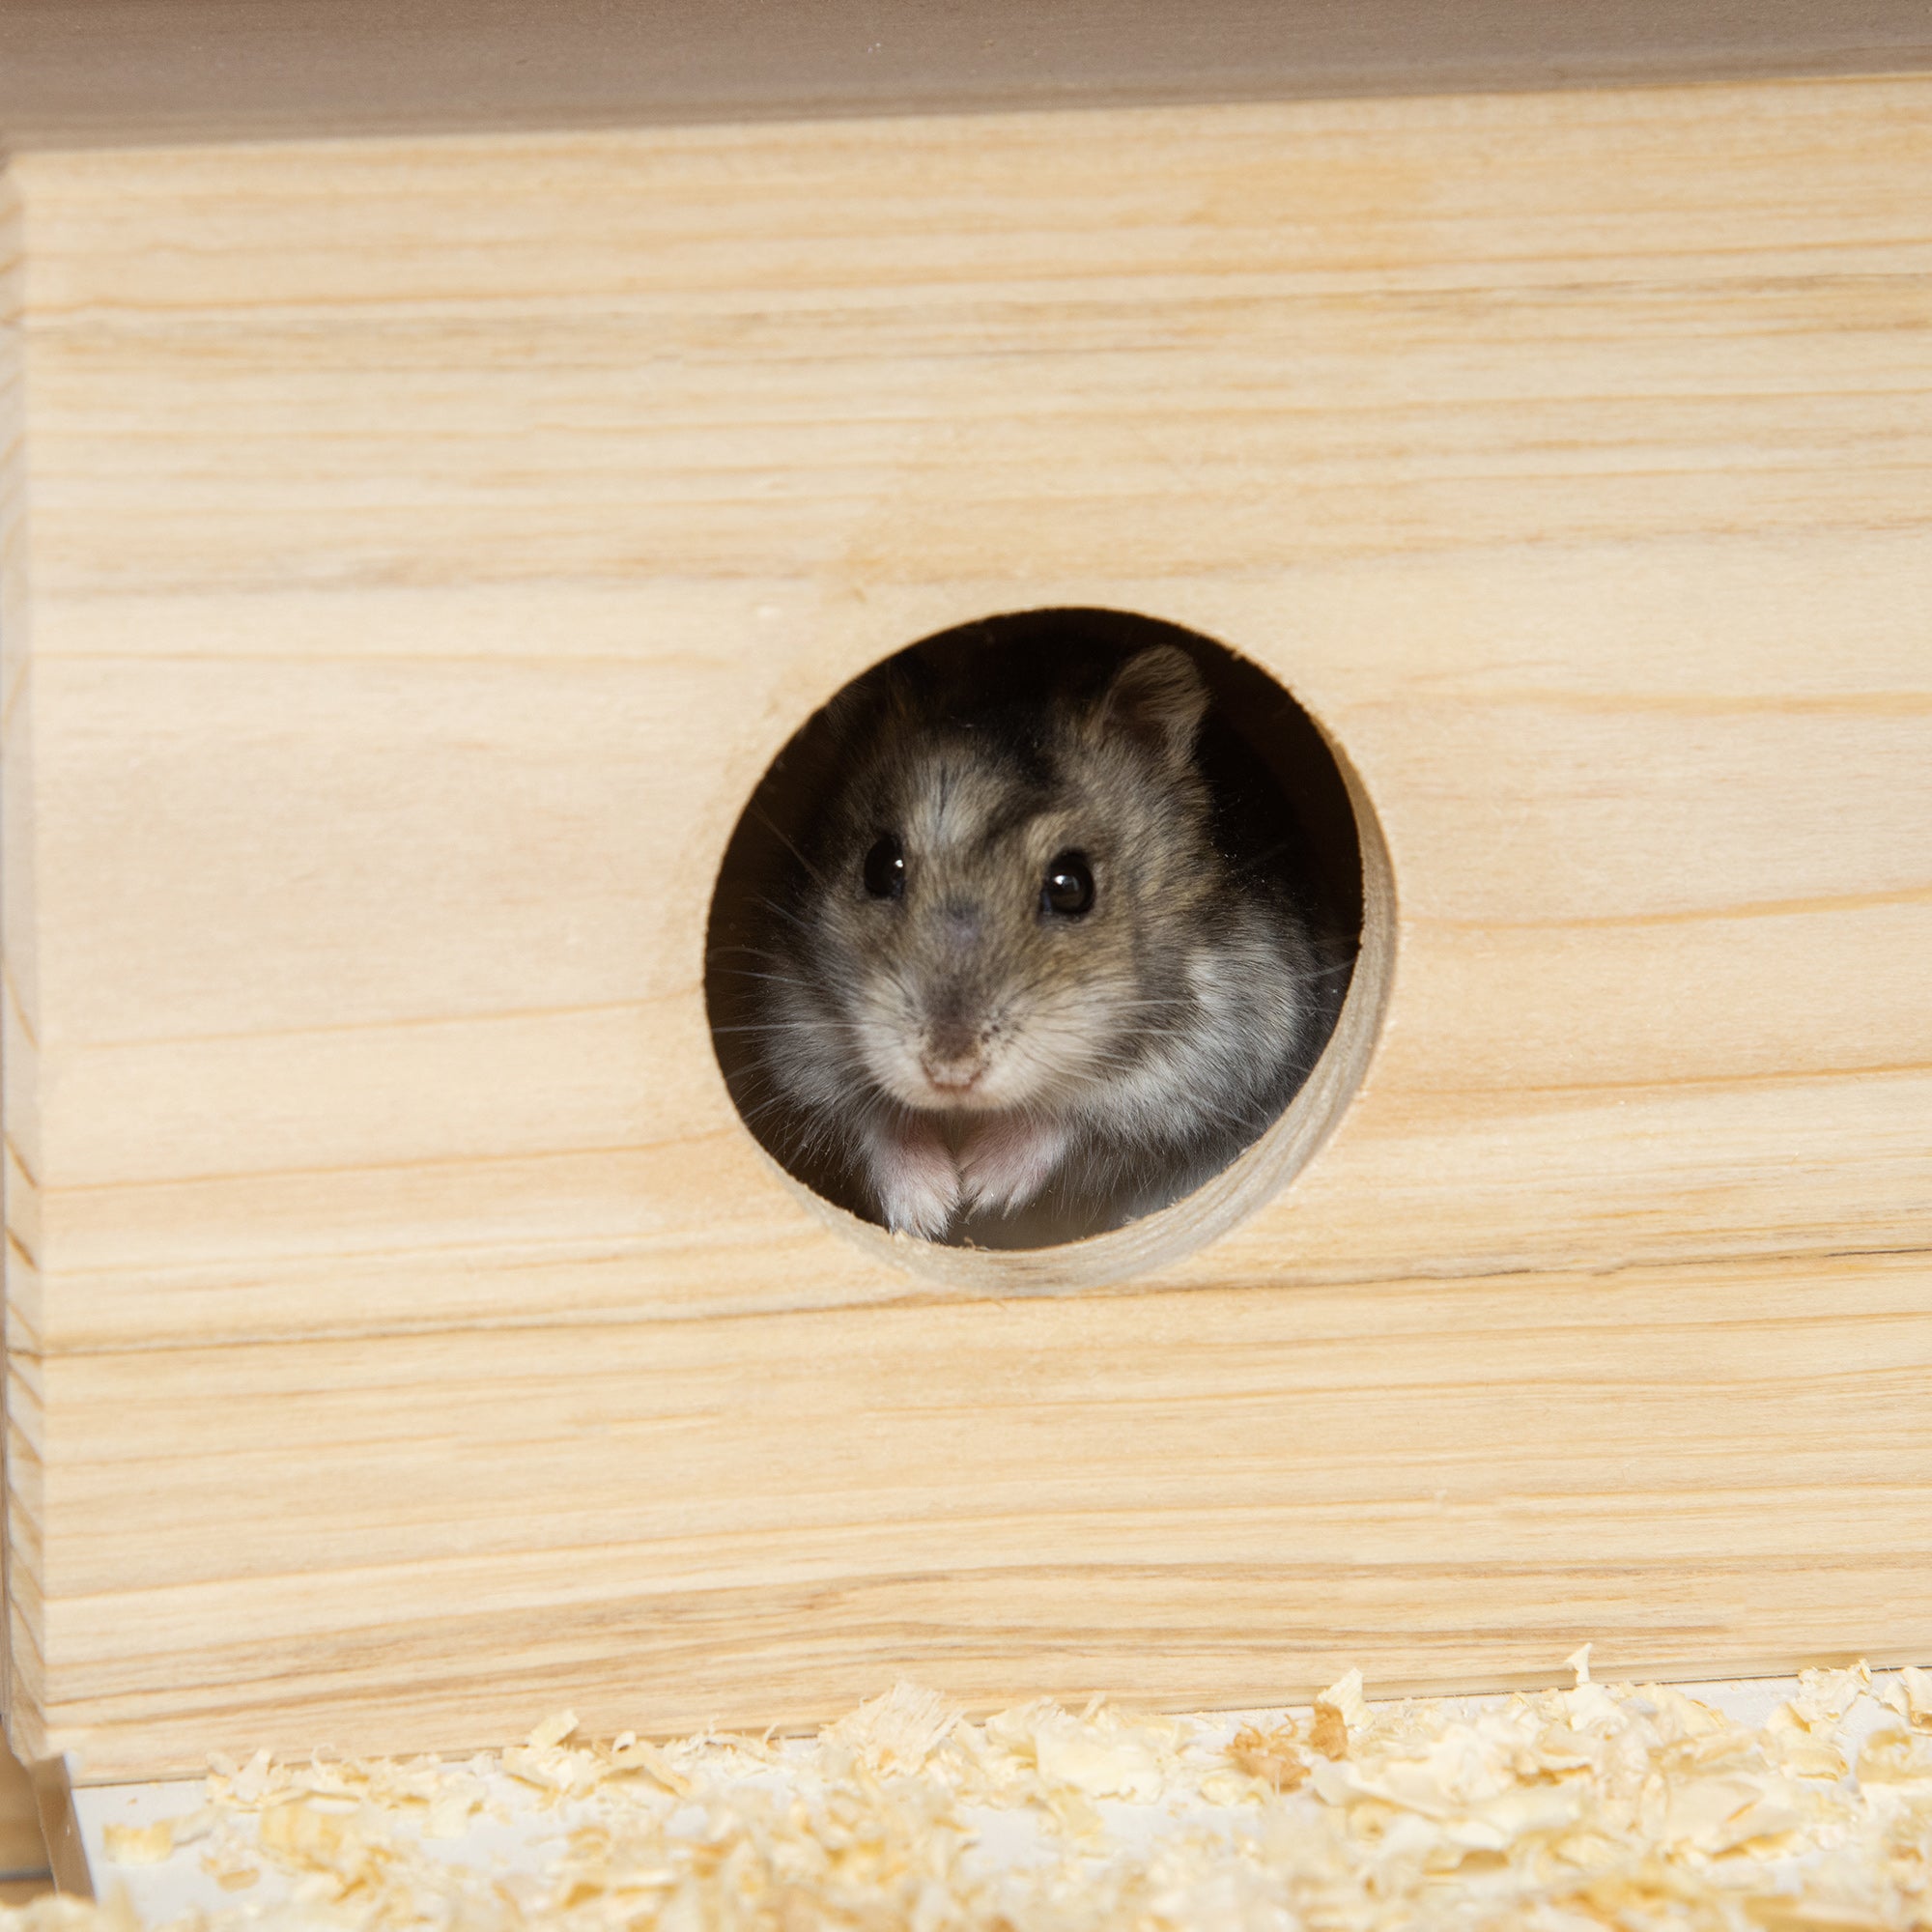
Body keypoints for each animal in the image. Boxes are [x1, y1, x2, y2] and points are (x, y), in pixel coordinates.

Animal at [722, 636, 1347, 1245]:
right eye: (879, 866)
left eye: (1073, 886)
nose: (951, 1073)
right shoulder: (797, 1033)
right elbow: (873, 1115)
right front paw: (931, 1211)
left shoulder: (1222, 1043)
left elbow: (1075, 1113)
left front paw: (981, 1188)